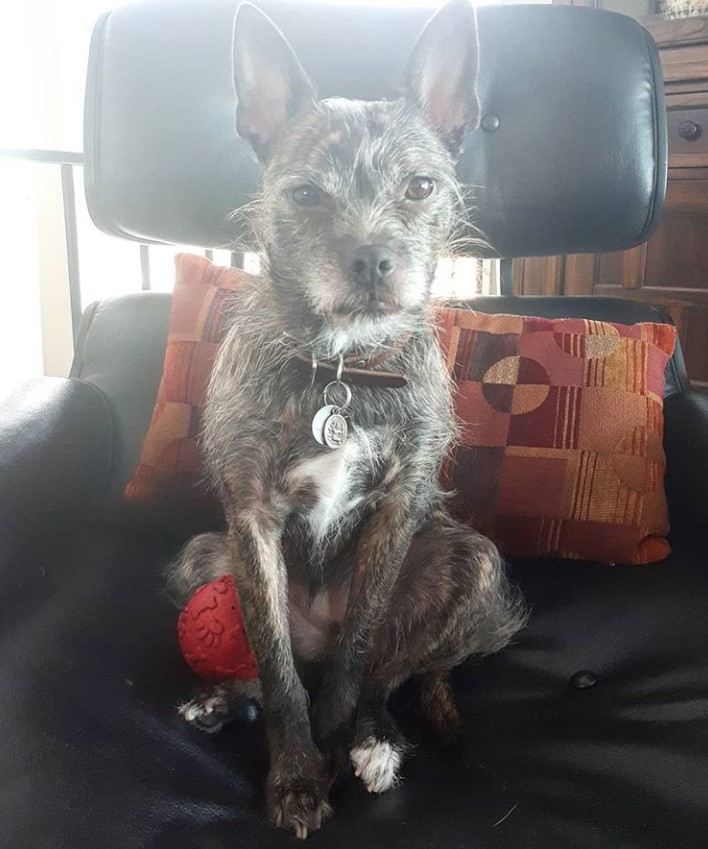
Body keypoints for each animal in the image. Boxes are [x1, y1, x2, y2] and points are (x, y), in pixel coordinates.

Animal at [167, 0, 524, 836]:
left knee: (390, 669)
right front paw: (297, 772)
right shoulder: (251, 519)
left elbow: (362, 649)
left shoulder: (397, 507)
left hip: (474, 563)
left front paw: (332, 744)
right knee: (271, 665)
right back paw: (222, 698)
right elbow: (274, 665)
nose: (369, 259)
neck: (343, 366)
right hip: (204, 556)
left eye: (421, 186)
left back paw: (378, 735)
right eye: (304, 196)